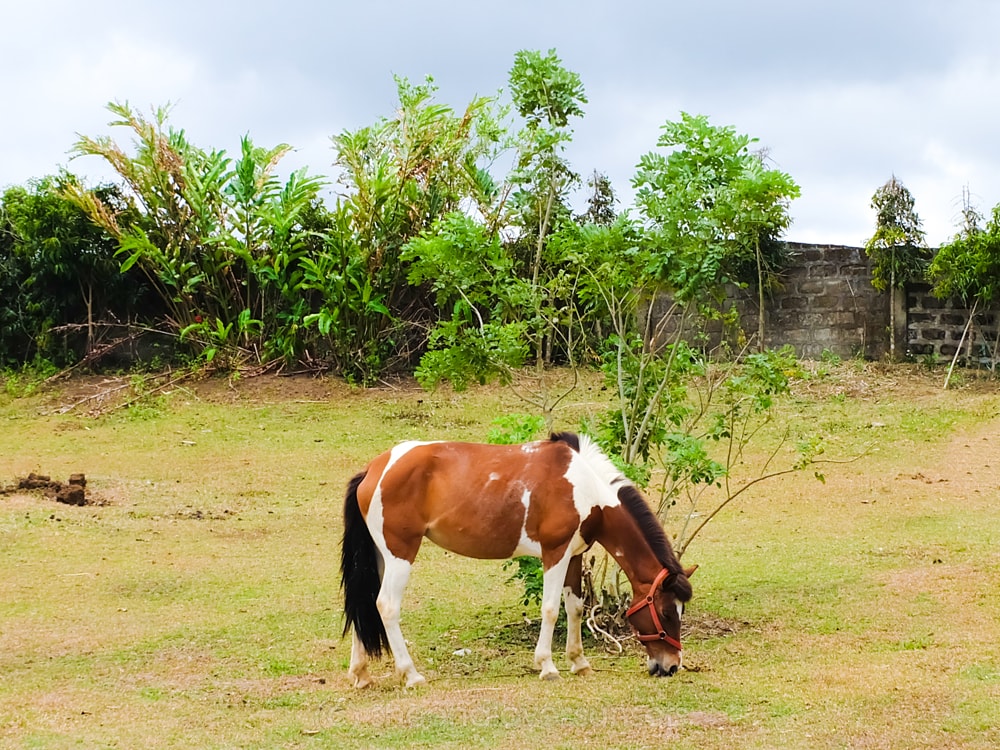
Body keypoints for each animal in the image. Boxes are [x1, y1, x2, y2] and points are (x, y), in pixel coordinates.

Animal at [340, 432, 692, 692]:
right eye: (665, 612)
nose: (671, 666)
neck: (585, 488)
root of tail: (373, 470)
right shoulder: (555, 554)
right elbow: (550, 609)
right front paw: (547, 666)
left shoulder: (573, 556)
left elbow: (575, 608)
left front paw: (579, 662)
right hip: (400, 554)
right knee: (386, 606)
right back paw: (410, 674)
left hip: (380, 557)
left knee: (365, 604)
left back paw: (362, 675)